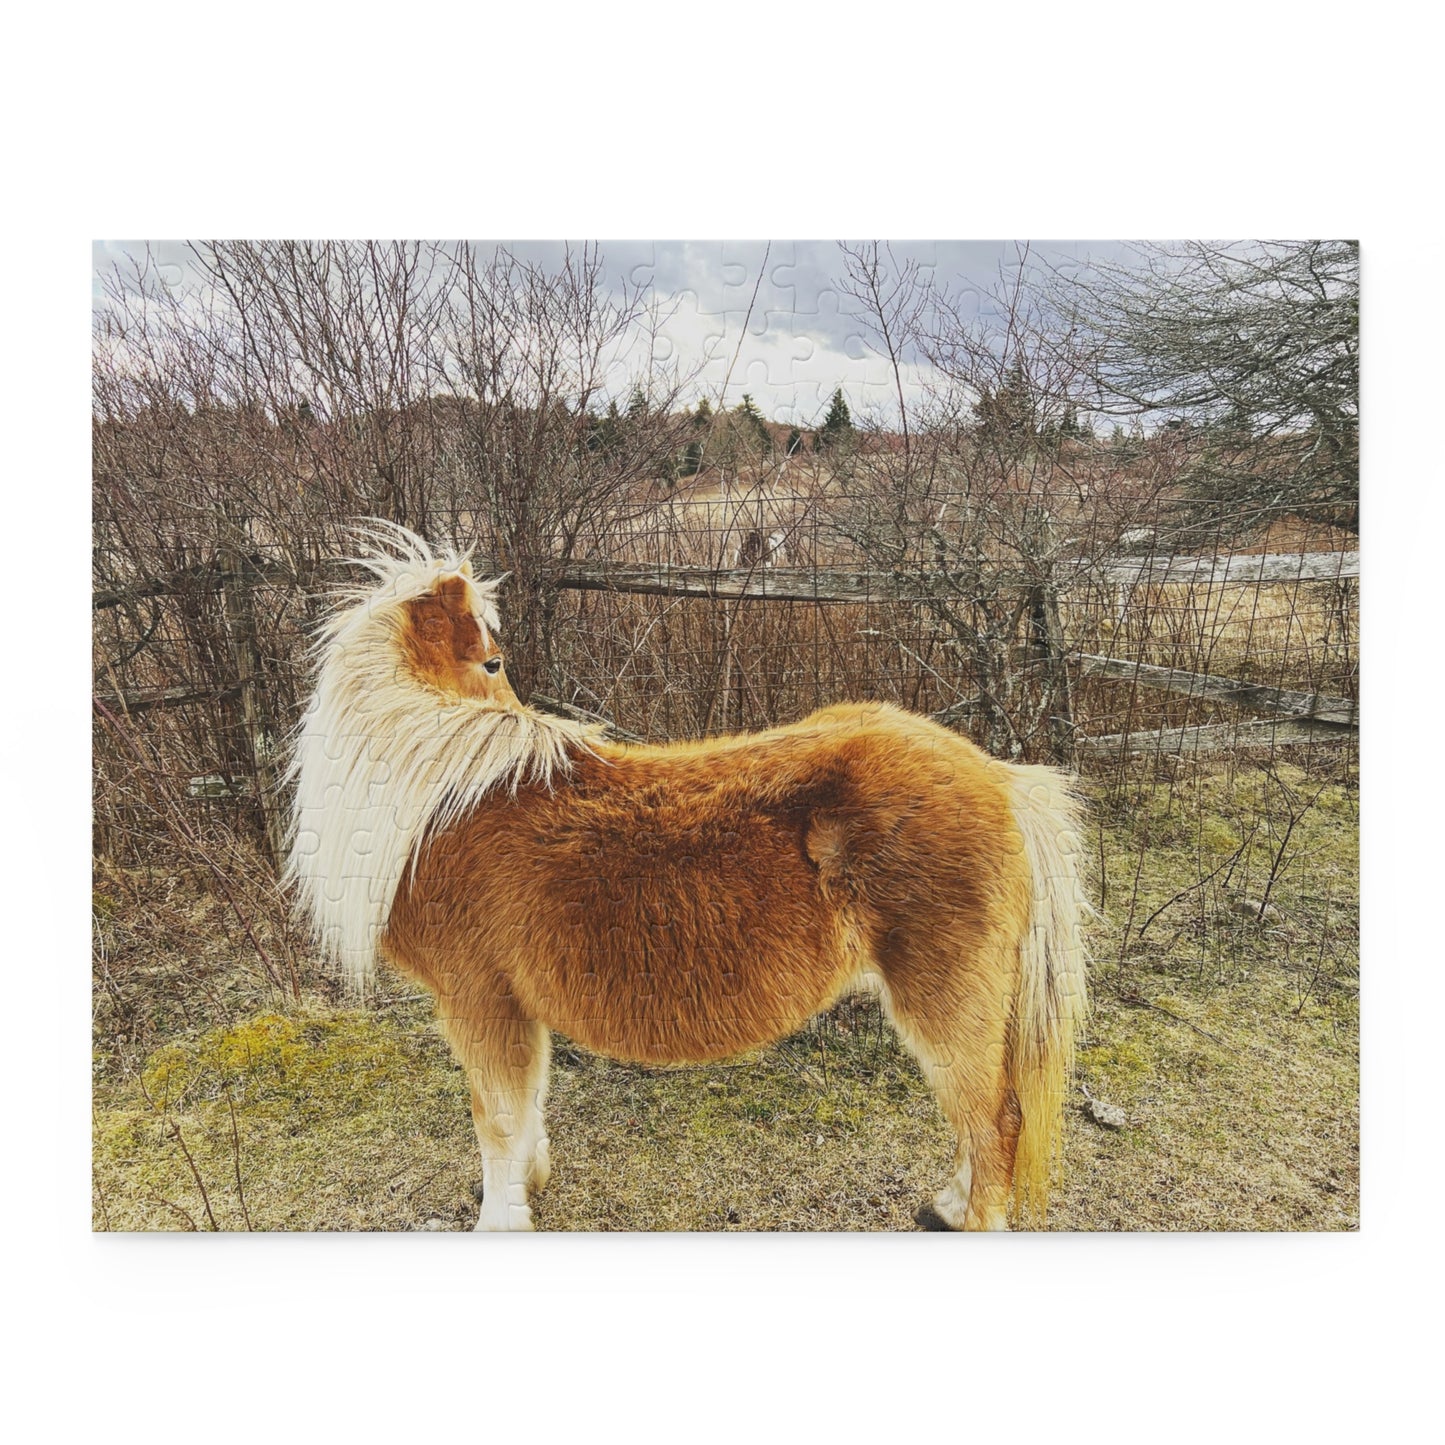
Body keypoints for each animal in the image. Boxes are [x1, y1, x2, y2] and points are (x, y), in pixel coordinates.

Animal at [286, 523, 1090, 1231]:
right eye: (489, 663)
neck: (445, 797)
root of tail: (999, 776)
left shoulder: (477, 999)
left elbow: (498, 1121)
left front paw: (500, 1218)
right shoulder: (512, 1005)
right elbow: (527, 1108)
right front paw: (531, 1184)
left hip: (946, 1000)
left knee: (994, 1120)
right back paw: (947, 1204)